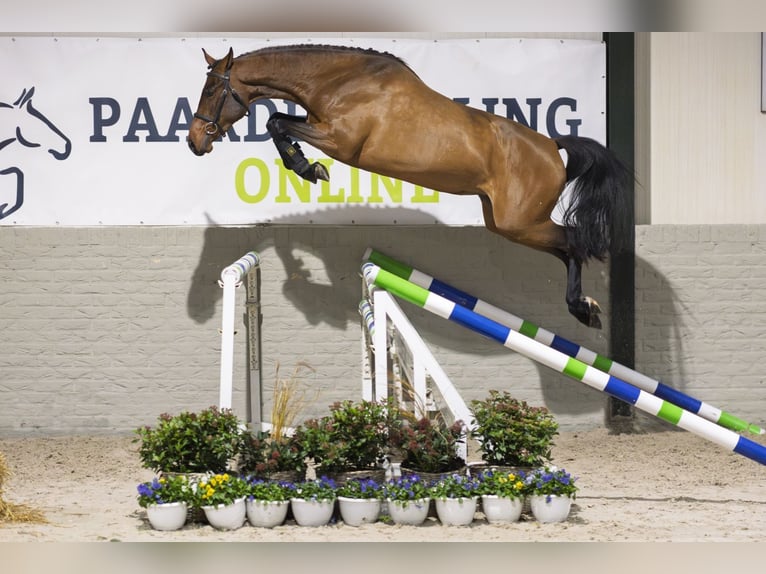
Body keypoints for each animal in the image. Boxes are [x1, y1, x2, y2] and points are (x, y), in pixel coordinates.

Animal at [188, 45, 632, 328]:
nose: (195, 142)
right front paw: (306, 167)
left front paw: (309, 169)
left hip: (521, 222)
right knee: (566, 248)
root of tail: (551, 145)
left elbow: (276, 122)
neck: (339, 81)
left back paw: (584, 309)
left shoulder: (340, 141)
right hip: (506, 222)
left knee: (573, 243)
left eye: (211, 90)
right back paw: (583, 308)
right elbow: (277, 121)